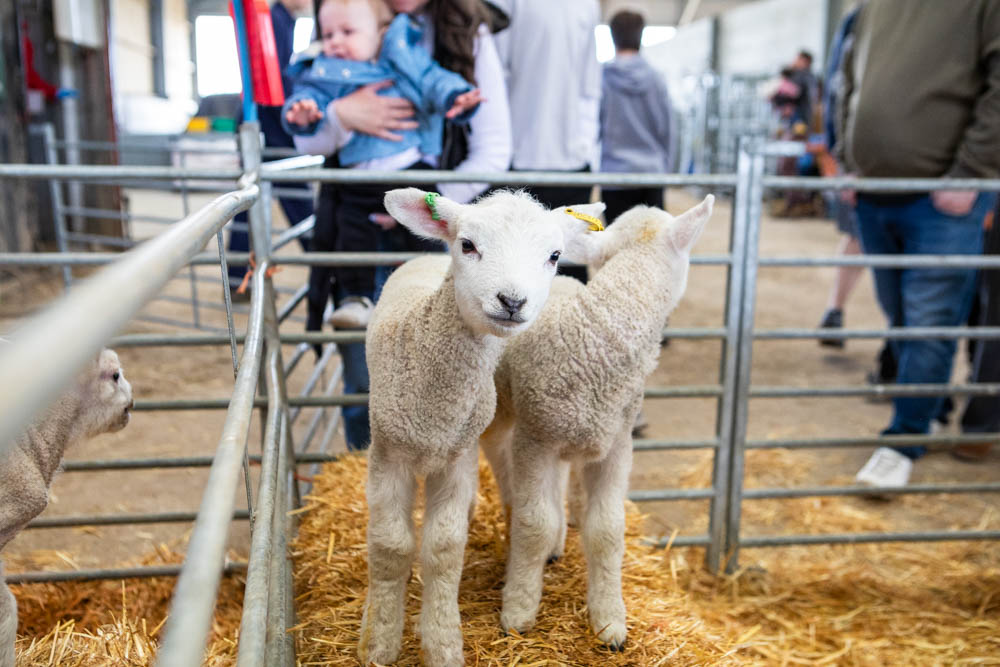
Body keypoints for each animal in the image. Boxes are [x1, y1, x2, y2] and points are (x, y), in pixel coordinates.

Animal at [358, 188, 604, 667]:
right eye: (468, 244)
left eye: (554, 255)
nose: (512, 301)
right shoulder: (387, 454)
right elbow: (391, 546)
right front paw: (379, 641)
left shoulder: (455, 459)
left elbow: (443, 548)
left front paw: (442, 644)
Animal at [480, 195, 714, 650]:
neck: (594, 337)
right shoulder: (534, 440)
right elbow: (534, 524)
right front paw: (519, 610)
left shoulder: (617, 446)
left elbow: (607, 531)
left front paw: (609, 622)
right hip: (511, 415)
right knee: (503, 464)